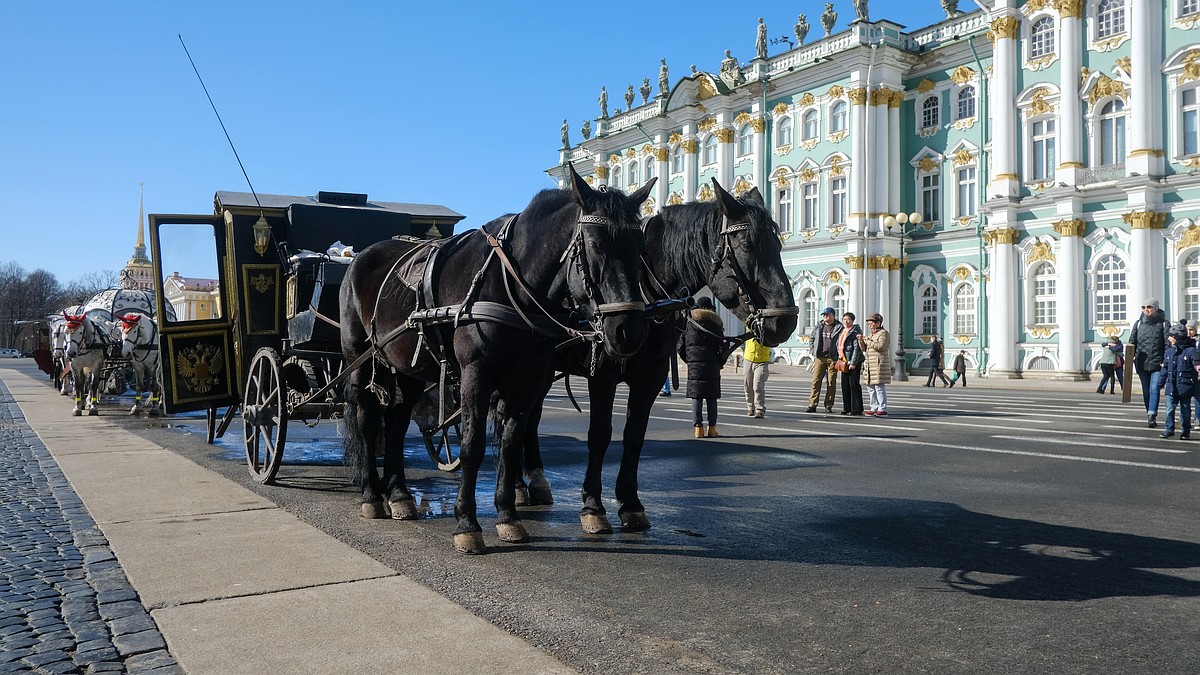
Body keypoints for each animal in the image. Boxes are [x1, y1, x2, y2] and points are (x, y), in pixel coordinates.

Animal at [343, 164, 652, 552]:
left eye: (640, 248)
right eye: (596, 245)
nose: (630, 329)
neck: (511, 285)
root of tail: (361, 256)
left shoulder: (529, 380)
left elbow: (510, 442)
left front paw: (507, 516)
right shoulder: (476, 375)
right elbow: (472, 446)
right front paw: (467, 523)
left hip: (408, 370)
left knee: (397, 422)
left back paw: (399, 494)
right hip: (361, 360)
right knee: (368, 421)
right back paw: (372, 495)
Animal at [516, 178, 796, 530]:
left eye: (778, 245)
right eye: (747, 245)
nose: (786, 321)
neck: (646, 293)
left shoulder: (651, 376)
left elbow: (634, 435)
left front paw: (631, 504)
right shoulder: (602, 374)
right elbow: (600, 434)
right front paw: (593, 506)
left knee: (527, 417)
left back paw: (534, 482)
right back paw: (520, 486)